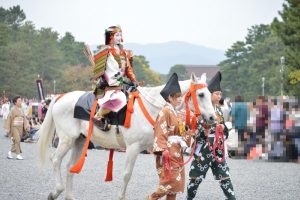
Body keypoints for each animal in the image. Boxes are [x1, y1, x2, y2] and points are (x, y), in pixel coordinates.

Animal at [38, 72, 216, 199]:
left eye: (209, 94)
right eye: (201, 94)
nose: (213, 118)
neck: (153, 108)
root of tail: (61, 97)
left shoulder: (156, 147)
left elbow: (165, 175)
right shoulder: (133, 147)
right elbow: (126, 175)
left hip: (80, 141)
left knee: (70, 167)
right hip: (66, 139)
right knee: (55, 160)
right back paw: (56, 191)